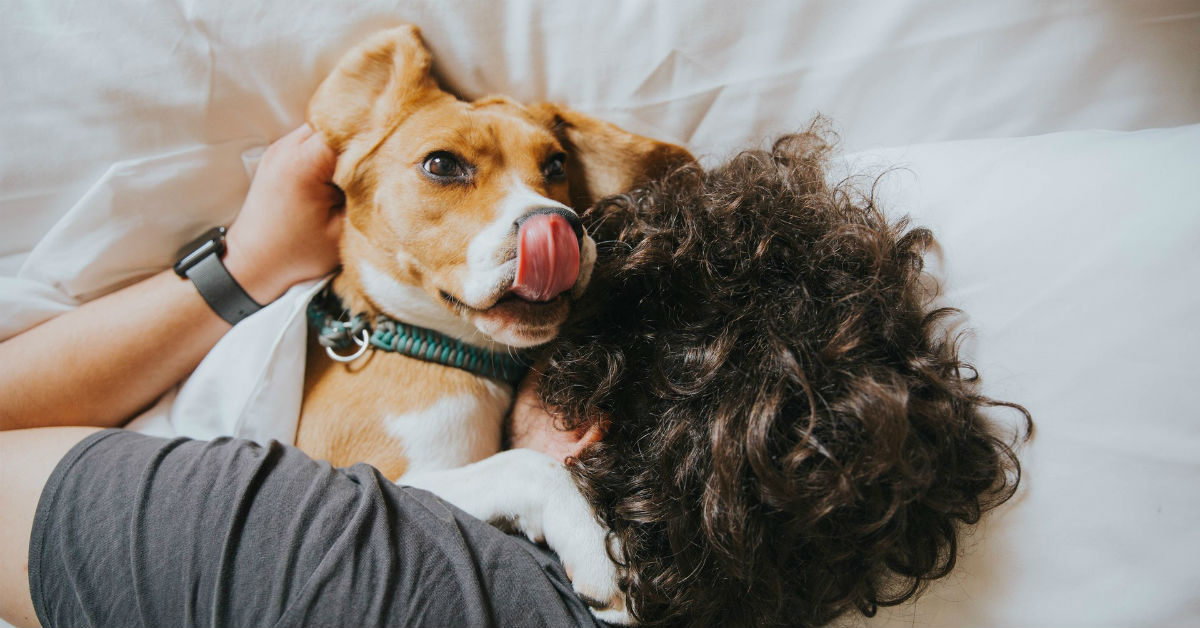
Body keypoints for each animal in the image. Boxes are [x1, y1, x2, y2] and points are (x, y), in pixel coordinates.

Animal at [291, 25, 696, 624]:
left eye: (555, 165)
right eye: (441, 164)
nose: (560, 227)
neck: (430, 345)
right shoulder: (385, 477)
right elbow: (528, 465)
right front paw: (601, 553)